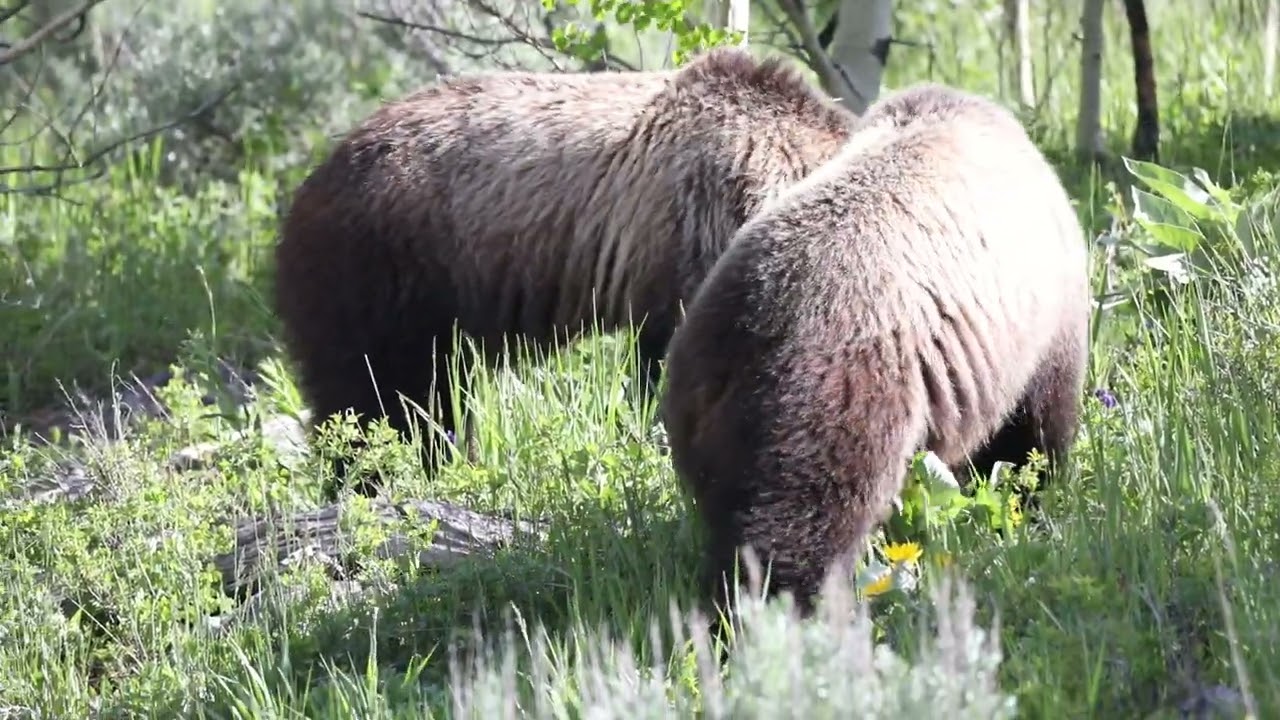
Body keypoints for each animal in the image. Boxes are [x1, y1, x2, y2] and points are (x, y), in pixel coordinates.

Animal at [659, 81, 1092, 620]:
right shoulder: (1041, 320)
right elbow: (1031, 432)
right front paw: (1028, 501)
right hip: (843, 385)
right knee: (805, 512)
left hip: (701, 414)